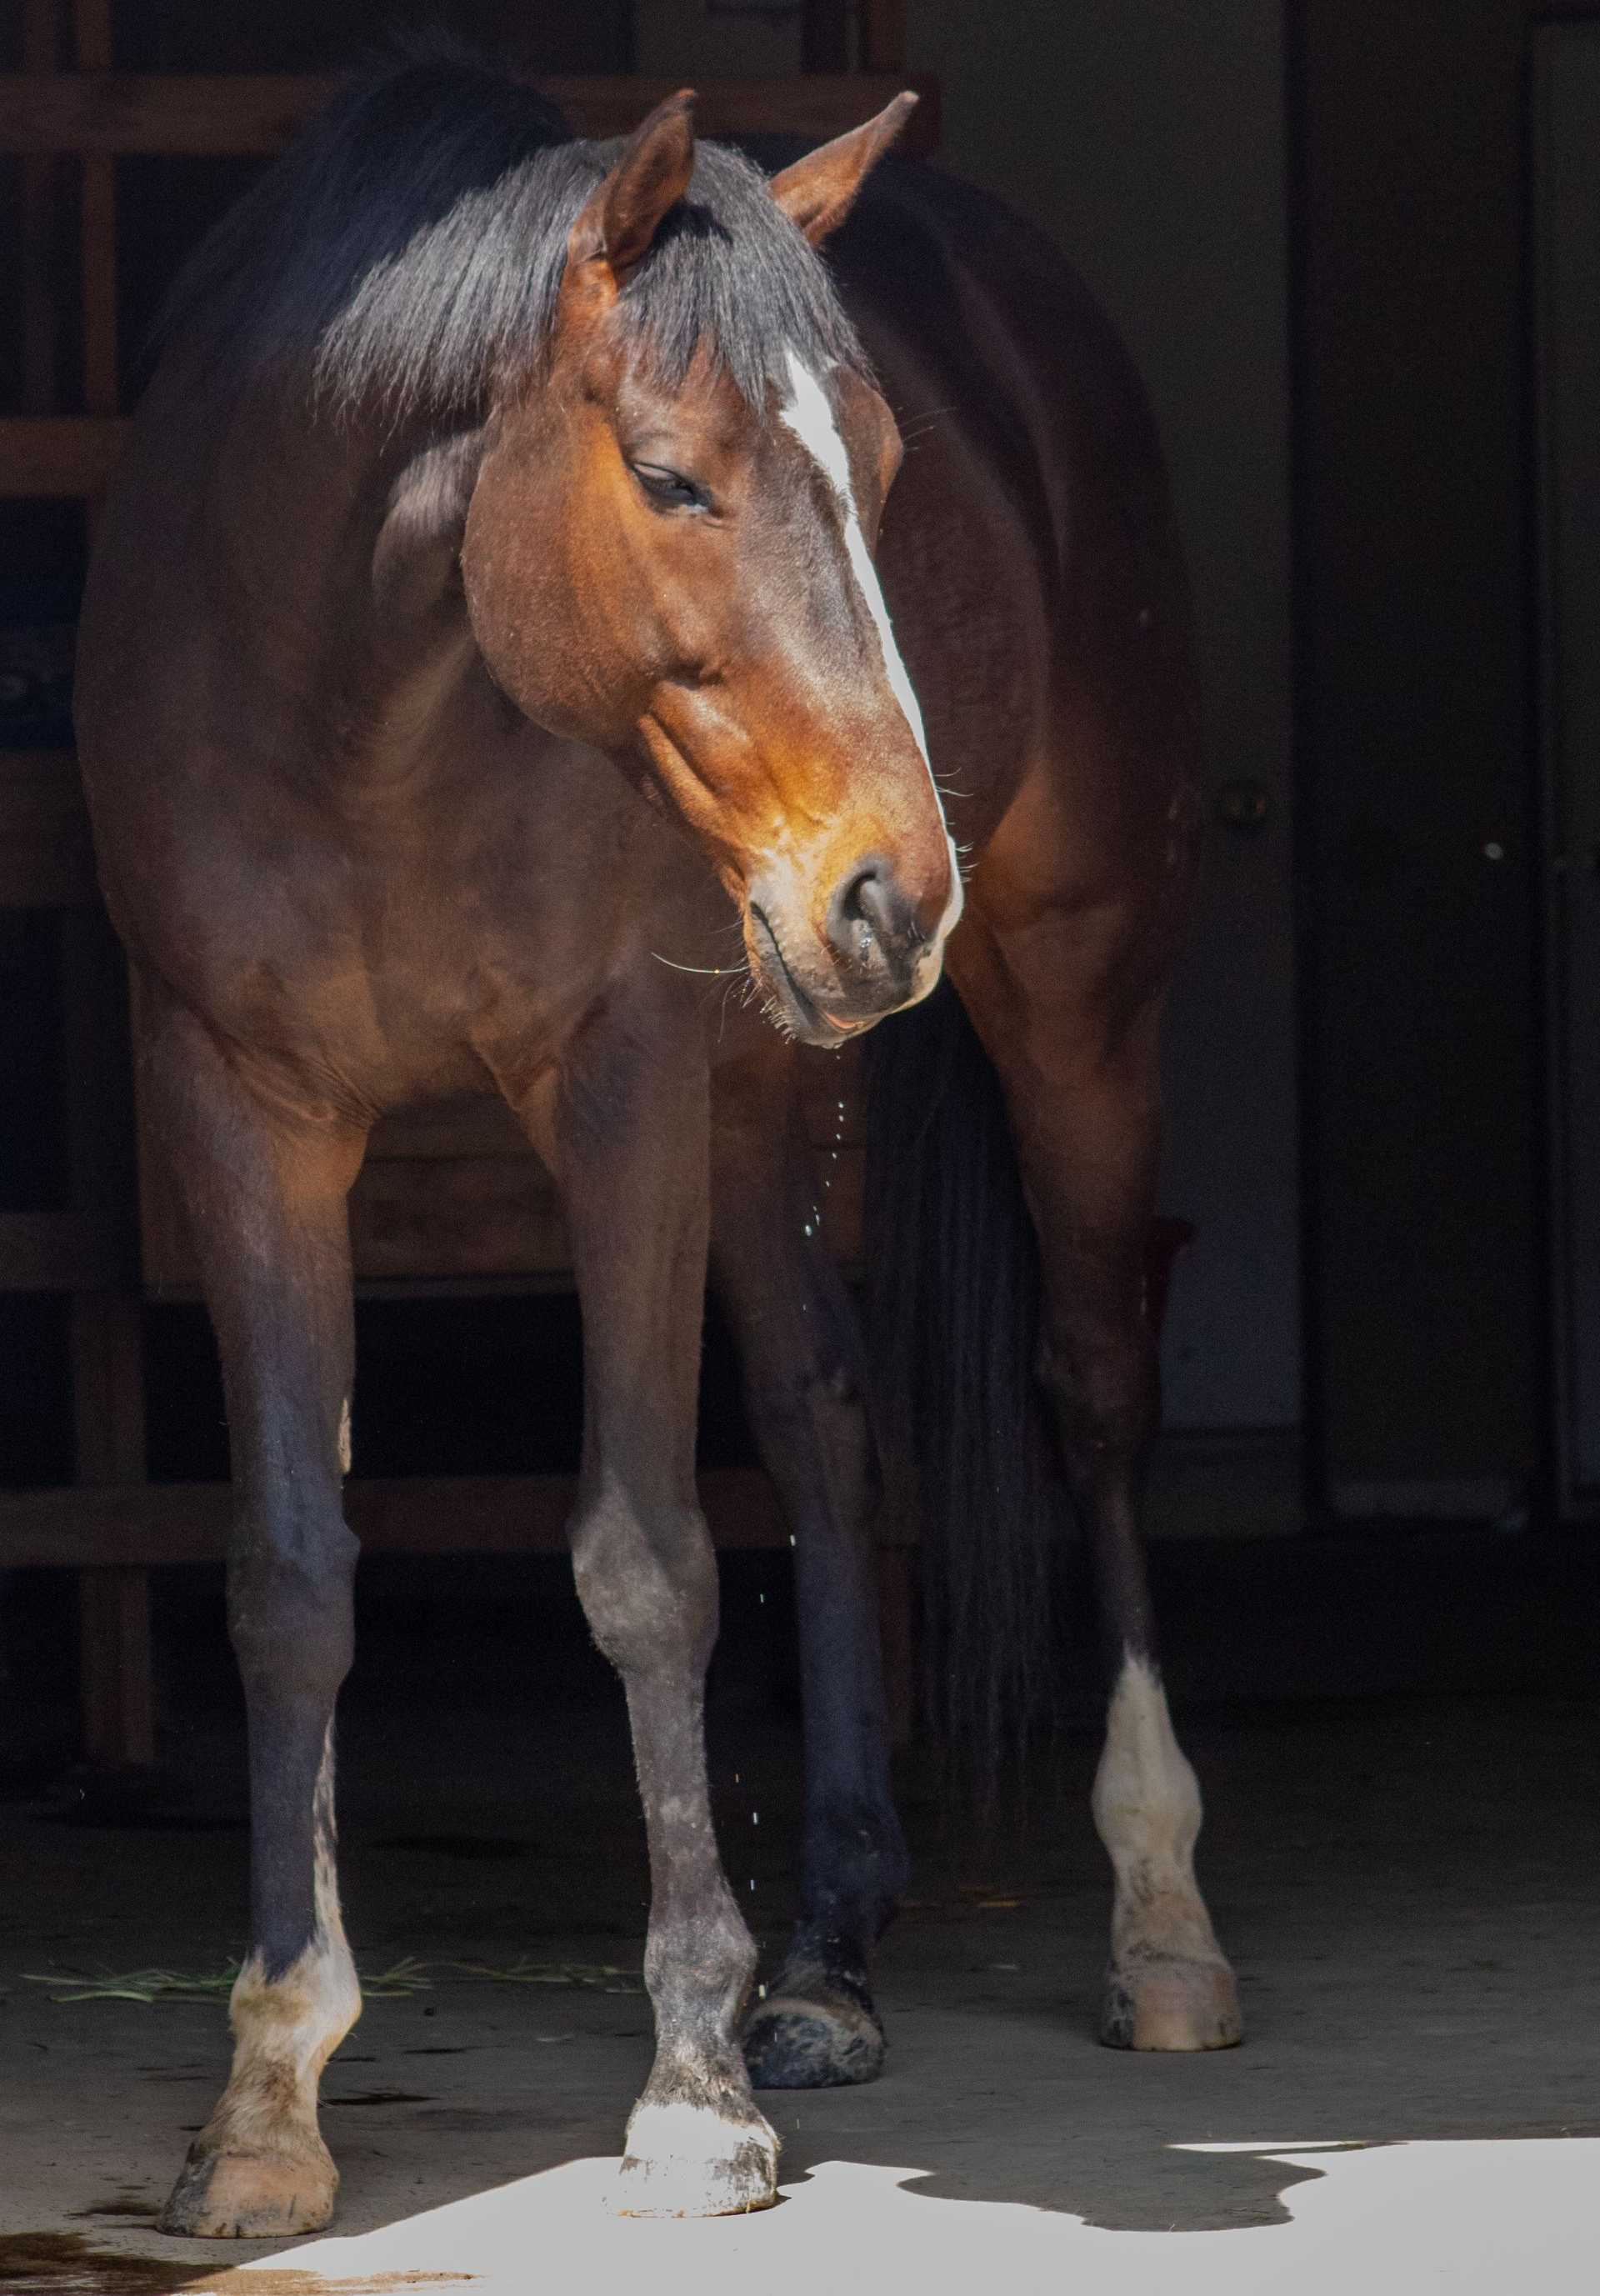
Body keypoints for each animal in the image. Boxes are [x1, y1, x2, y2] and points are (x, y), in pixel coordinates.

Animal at [74, 49, 1239, 2233]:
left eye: (884, 465)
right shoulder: (242, 1102)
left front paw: (689, 2079)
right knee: (829, 1415)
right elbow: (286, 1571)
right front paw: (266, 2091)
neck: (361, 690)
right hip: (770, 1052)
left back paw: (1160, 1915)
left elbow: (645, 1559)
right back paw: (835, 1957)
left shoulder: (613, 1083)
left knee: (1096, 1389)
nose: (899, 888)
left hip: (1072, 974)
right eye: (678, 479)